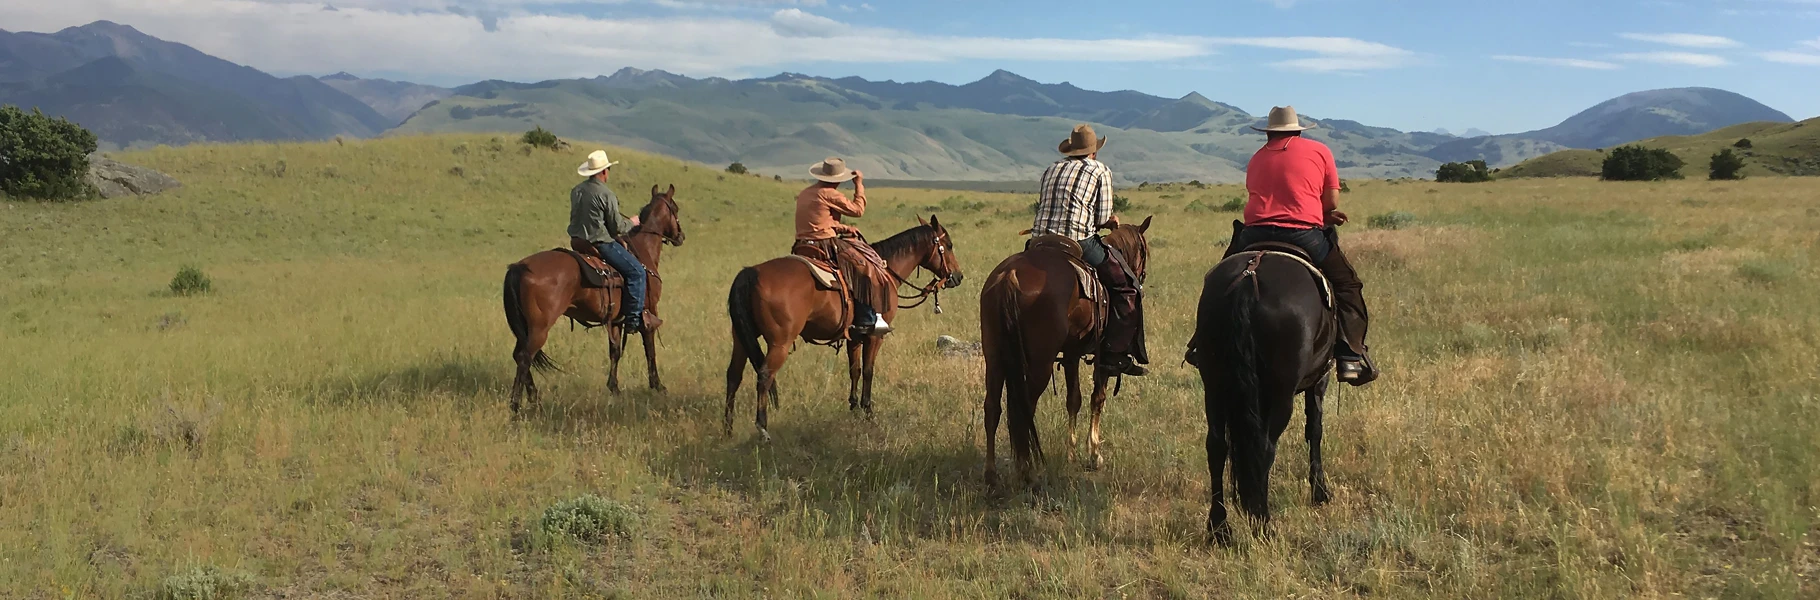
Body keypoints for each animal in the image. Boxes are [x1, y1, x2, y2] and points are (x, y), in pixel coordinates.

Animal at [501, 185, 687, 412]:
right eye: (675, 208)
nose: (680, 236)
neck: (643, 250)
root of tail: (519, 266)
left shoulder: (615, 320)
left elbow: (615, 351)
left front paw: (614, 387)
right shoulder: (649, 314)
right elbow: (650, 350)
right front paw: (657, 385)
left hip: (525, 327)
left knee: (519, 355)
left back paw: (533, 397)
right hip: (539, 328)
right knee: (524, 357)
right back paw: (516, 404)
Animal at [724, 216, 964, 441]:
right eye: (949, 245)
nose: (958, 276)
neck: (886, 271)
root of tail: (750, 273)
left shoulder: (855, 336)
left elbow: (854, 370)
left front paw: (854, 406)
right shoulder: (875, 337)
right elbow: (868, 370)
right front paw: (868, 410)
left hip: (741, 339)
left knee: (734, 375)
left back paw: (728, 429)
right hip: (780, 343)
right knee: (764, 376)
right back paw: (762, 428)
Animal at [978, 217, 1151, 488]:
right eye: (1145, 252)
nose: (1141, 274)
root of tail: (1010, 276)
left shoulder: (1071, 354)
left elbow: (1074, 400)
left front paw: (1071, 454)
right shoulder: (1102, 359)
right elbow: (1097, 398)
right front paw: (1094, 454)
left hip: (994, 357)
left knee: (992, 409)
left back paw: (991, 474)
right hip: (1039, 364)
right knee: (1023, 409)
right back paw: (1026, 472)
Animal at [1192, 243, 1337, 542]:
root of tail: (1250, 277)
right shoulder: (1320, 380)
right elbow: (1315, 430)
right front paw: (1320, 492)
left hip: (1214, 386)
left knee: (1216, 446)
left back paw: (1219, 528)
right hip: (1279, 395)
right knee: (1265, 449)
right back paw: (1263, 524)